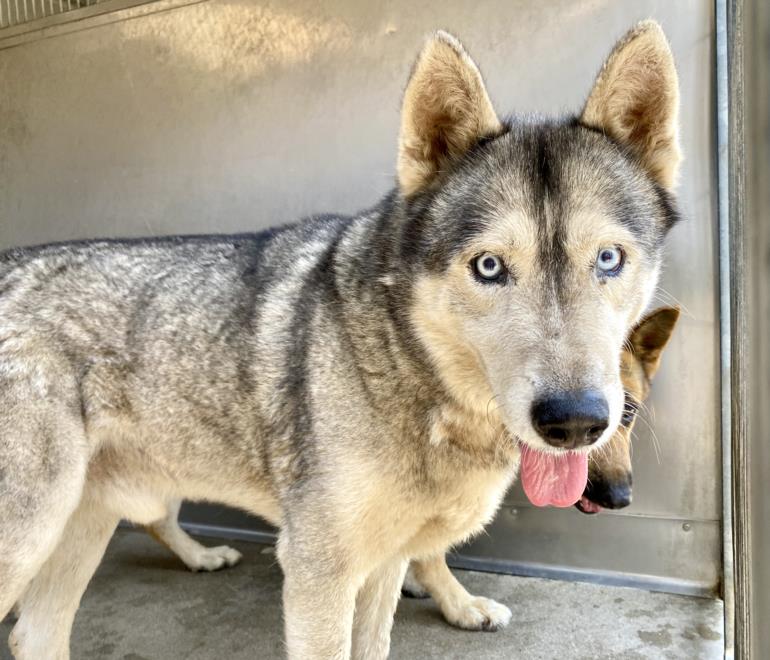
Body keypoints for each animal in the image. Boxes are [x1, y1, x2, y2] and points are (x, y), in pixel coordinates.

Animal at [4, 20, 680, 660]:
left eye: (609, 259)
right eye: (489, 267)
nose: (574, 423)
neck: (409, 372)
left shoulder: (382, 565)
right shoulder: (316, 576)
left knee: (35, 635)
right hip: (30, 537)